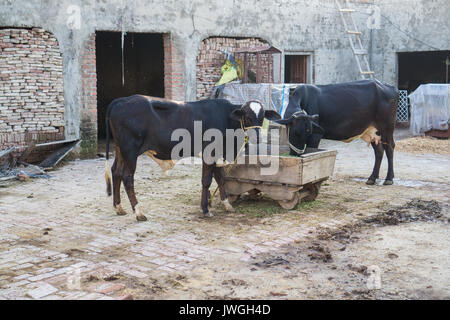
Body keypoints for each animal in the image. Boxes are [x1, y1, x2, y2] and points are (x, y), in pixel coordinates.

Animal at [105, 94, 282, 221]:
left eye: (262, 117)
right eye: (246, 116)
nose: (256, 136)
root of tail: (121, 100)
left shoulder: (218, 155)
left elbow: (221, 178)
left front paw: (226, 205)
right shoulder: (209, 153)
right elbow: (207, 181)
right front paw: (205, 209)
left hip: (120, 150)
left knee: (116, 172)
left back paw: (118, 208)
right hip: (130, 151)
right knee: (128, 178)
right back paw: (139, 212)